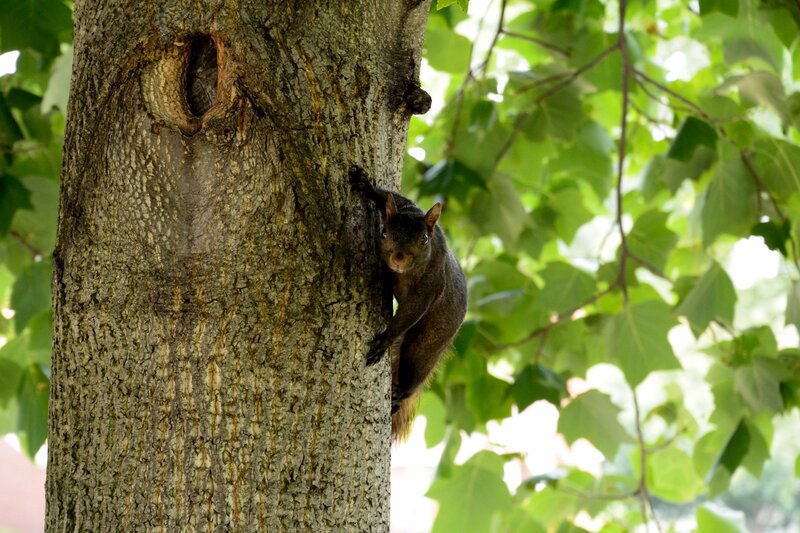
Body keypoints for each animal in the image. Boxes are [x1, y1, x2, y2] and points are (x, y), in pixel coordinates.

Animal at [349, 165, 467, 440]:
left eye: (424, 239)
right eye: (384, 232)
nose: (399, 257)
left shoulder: (429, 288)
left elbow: (410, 312)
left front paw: (385, 340)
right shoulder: (407, 206)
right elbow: (392, 197)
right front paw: (365, 185)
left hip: (429, 341)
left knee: (415, 369)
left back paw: (399, 394)